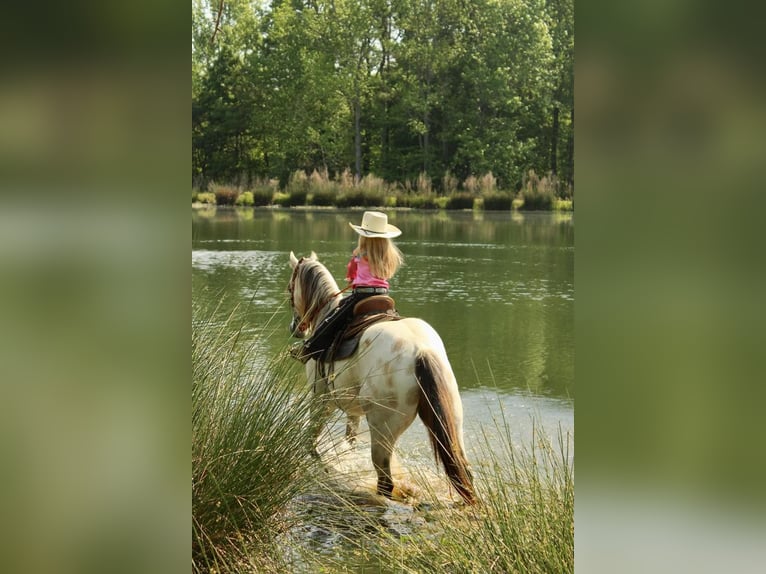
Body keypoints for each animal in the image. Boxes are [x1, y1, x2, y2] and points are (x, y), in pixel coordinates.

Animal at [292, 252, 476, 504]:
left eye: (290, 287)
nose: (296, 328)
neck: (325, 315)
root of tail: (421, 352)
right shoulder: (353, 412)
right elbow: (349, 441)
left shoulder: (320, 400)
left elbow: (311, 442)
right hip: (453, 422)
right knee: (463, 470)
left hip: (382, 430)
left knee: (386, 481)